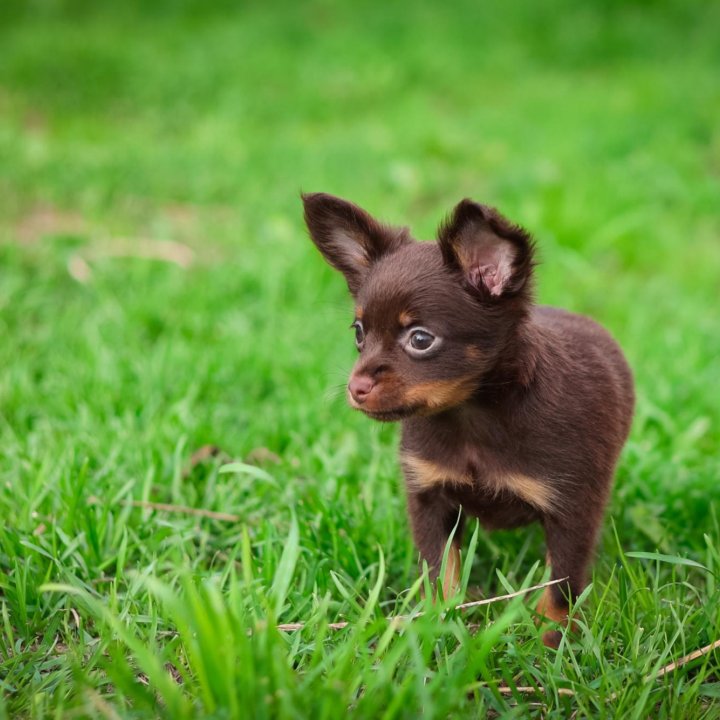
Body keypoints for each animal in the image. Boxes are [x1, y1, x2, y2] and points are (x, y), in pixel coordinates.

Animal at [304, 191, 636, 648]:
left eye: (420, 339)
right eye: (358, 332)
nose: (356, 387)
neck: (471, 418)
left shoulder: (572, 509)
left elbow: (560, 584)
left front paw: (549, 642)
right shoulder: (430, 498)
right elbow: (440, 572)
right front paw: (438, 624)